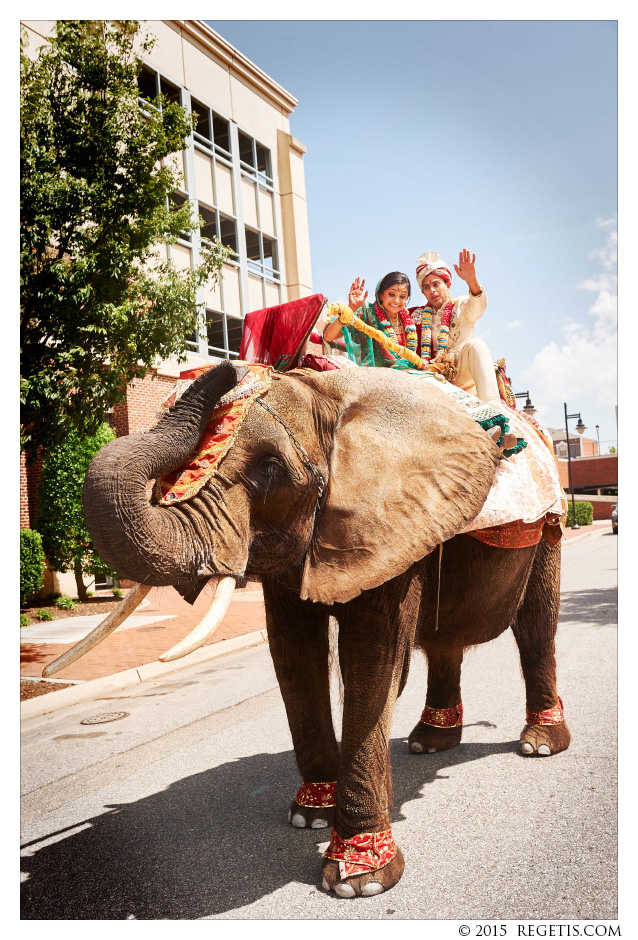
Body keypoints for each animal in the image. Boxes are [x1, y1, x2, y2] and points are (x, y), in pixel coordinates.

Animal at [76, 358, 576, 896]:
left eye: (269, 469)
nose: (228, 367)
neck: (327, 394)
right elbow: (294, 653)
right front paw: (308, 816)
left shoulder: (386, 517)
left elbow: (370, 655)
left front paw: (360, 880)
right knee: (446, 642)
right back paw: (429, 742)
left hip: (549, 529)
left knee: (536, 626)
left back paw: (538, 744)